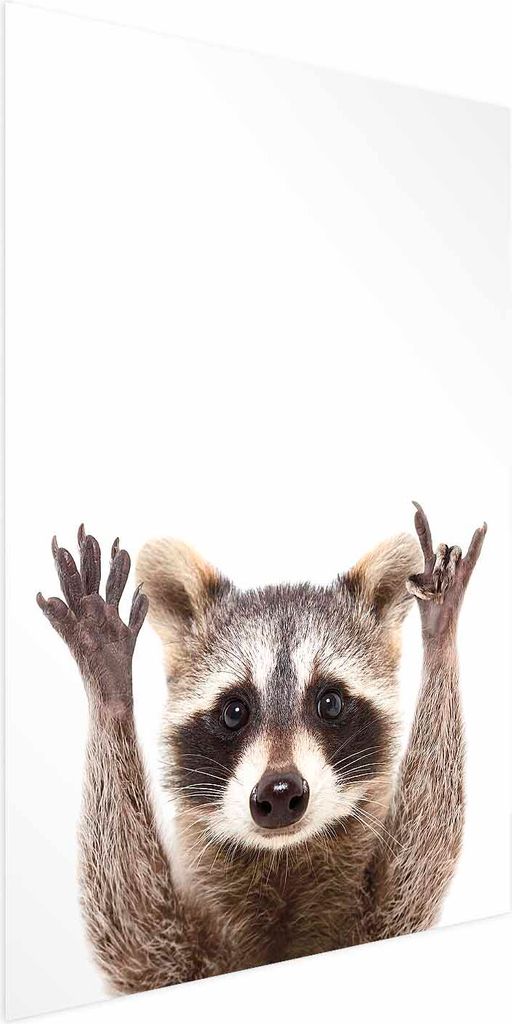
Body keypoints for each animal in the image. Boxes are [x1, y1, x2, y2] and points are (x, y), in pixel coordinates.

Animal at [37, 504, 486, 993]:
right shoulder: (175, 959)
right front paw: (109, 684)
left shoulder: (381, 922)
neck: (282, 860)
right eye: (235, 711)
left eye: (330, 702)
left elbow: (419, 861)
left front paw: (440, 633)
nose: (280, 792)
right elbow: (132, 930)